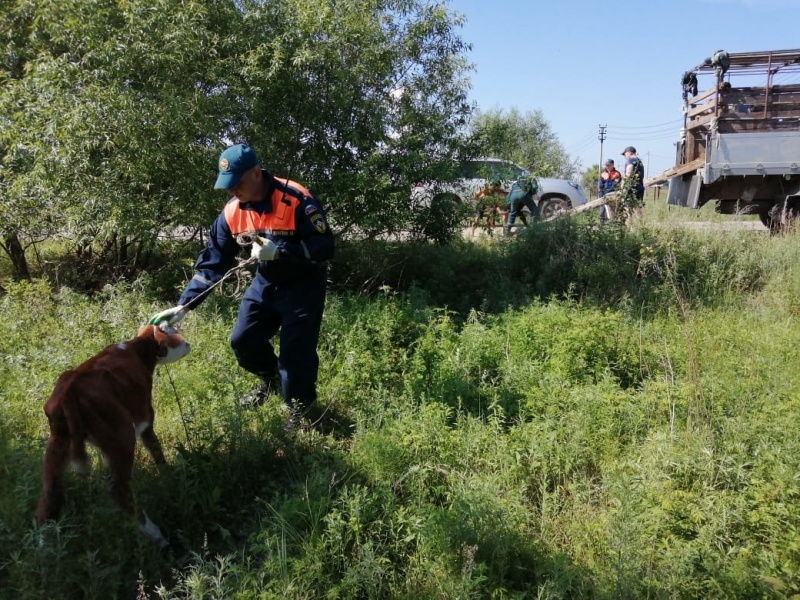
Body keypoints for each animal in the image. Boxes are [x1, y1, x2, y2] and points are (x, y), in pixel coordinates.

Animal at [36, 326, 191, 548]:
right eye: (171, 332)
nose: (188, 344)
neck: (136, 348)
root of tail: (68, 391)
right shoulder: (144, 416)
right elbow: (155, 448)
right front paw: (168, 474)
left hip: (59, 441)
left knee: (50, 493)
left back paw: (44, 545)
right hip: (122, 435)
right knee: (118, 489)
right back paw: (156, 536)